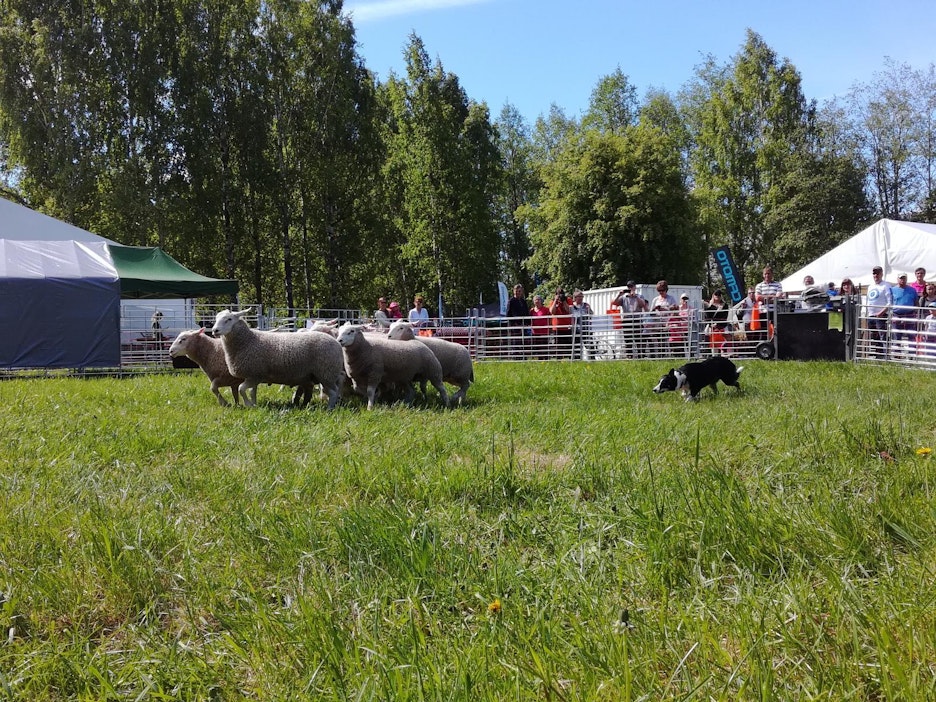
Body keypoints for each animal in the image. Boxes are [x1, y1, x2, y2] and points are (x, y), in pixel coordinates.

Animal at [208, 310, 344, 412]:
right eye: (216, 318)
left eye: (229, 319)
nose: (215, 330)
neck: (248, 340)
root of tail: (336, 343)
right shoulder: (254, 376)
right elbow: (252, 392)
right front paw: (254, 405)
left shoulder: (255, 375)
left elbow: (241, 389)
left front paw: (249, 405)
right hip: (321, 374)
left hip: (326, 372)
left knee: (333, 392)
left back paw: (329, 409)